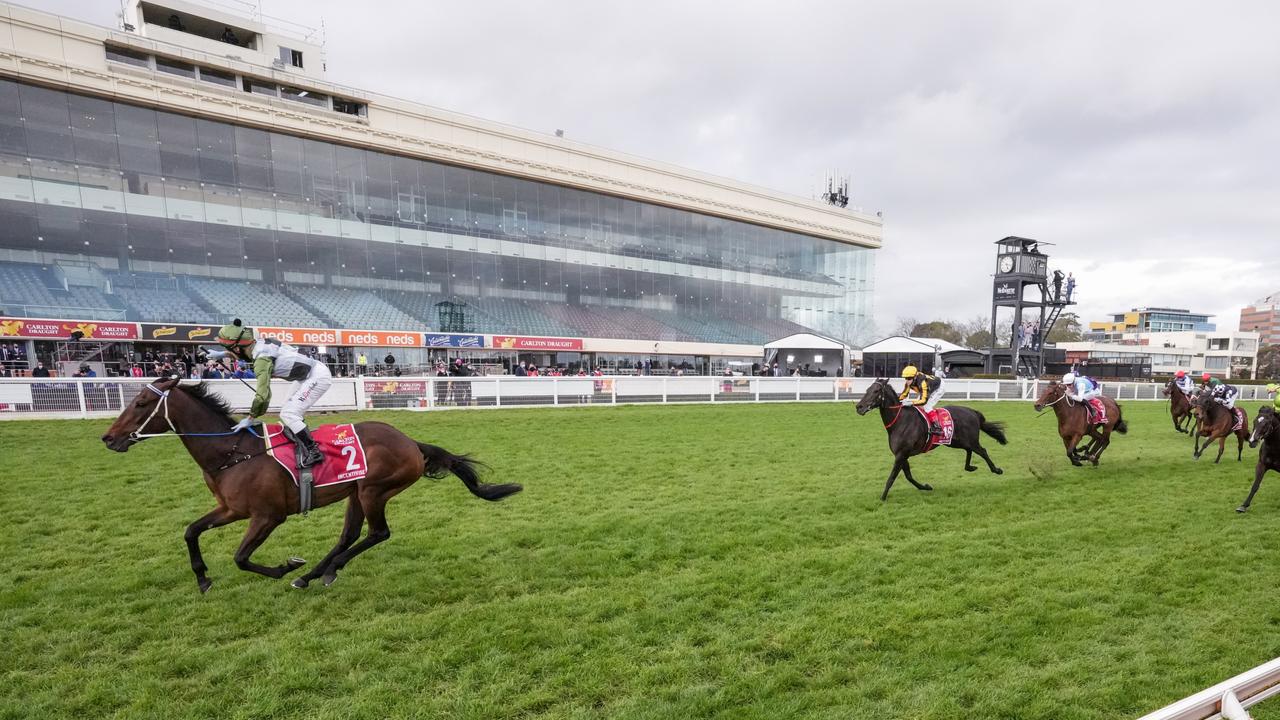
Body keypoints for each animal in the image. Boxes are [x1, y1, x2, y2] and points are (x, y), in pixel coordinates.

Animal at [99, 376, 519, 589]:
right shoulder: (230, 508)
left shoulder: (267, 516)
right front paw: (202, 578)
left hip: (374, 489)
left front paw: (285, 566)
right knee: (350, 535)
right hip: (355, 491)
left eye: (140, 403)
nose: (108, 438)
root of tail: (411, 442)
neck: (233, 453)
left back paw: (314, 572)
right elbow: (191, 530)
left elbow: (241, 557)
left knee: (377, 533)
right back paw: (319, 572)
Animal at [855, 376, 1003, 499]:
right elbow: (908, 476)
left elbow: (892, 477)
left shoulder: (901, 454)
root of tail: (972, 411)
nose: (859, 407)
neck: (900, 421)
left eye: (876, 391)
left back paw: (996, 470)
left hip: (970, 440)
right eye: (868, 389)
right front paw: (925, 487)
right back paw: (970, 467)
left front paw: (883, 498)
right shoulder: (902, 454)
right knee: (969, 450)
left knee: (983, 451)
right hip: (956, 441)